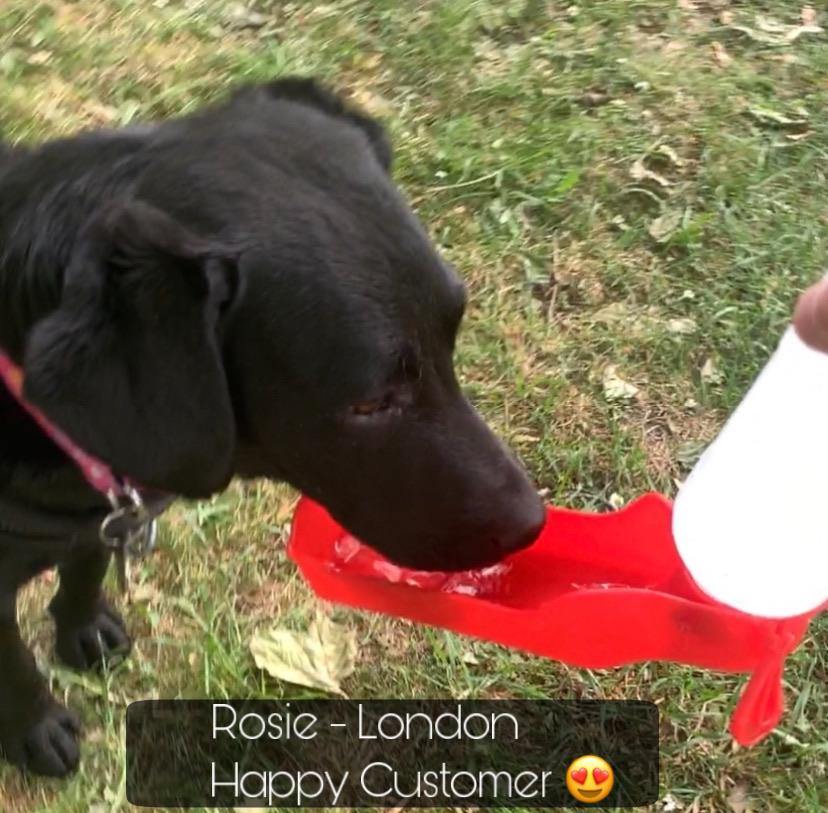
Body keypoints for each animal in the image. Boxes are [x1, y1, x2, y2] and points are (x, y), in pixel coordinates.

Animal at [0, 79, 544, 776]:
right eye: (370, 401)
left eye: (451, 339)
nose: (534, 524)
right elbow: (14, 663)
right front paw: (35, 728)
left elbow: (87, 563)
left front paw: (82, 628)